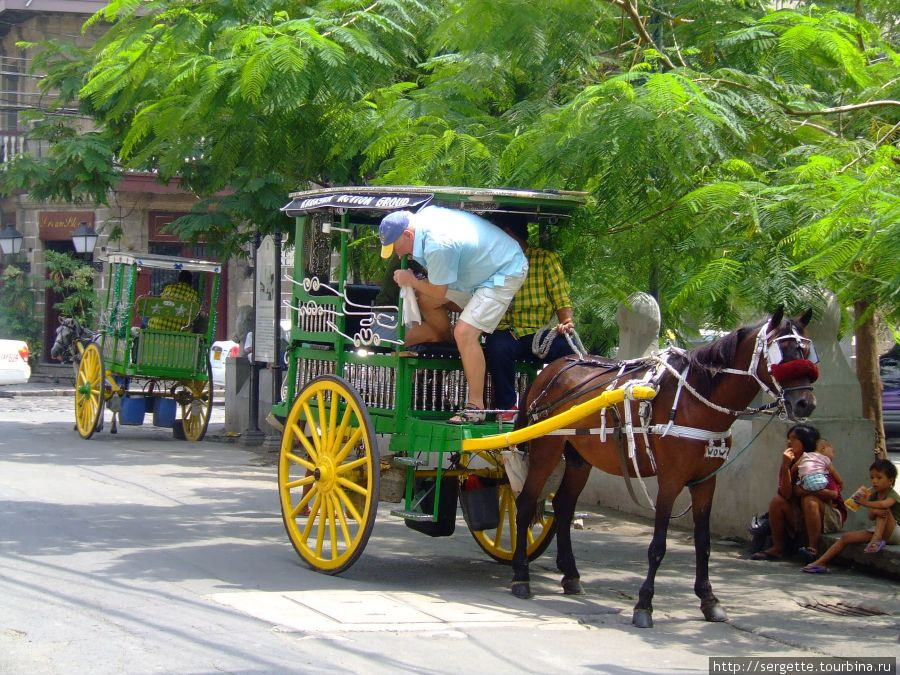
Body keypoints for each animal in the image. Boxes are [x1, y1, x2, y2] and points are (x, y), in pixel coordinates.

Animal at [510, 310, 820, 628]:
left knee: (562, 506)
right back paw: (521, 575)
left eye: (808, 352)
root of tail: (552, 369)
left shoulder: (705, 481)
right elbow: (658, 544)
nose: (804, 403)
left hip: (578, 457)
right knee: (525, 503)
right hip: (546, 449)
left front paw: (709, 600)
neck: (696, 400)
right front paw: (644, 604)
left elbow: (703, 542)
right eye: (781, 352)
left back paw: (570, 575)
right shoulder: (671, 480)